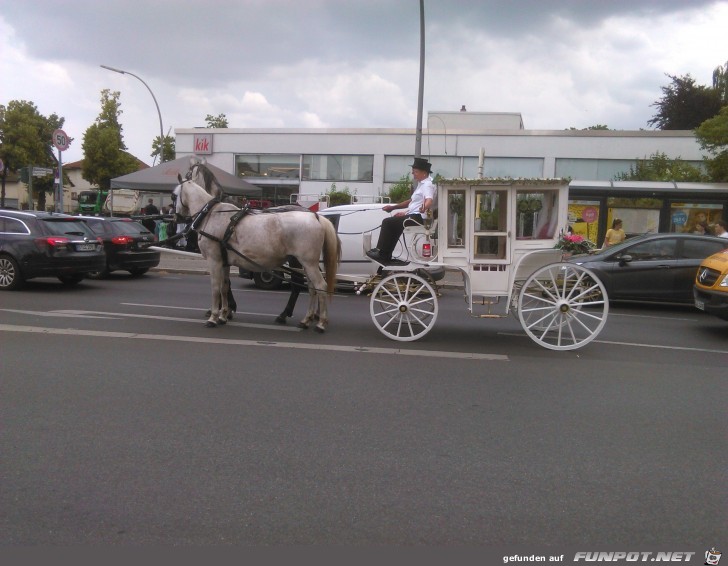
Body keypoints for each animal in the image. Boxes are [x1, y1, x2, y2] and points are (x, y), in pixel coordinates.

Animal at [173, 175, 342, 330]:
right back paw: (306, 319)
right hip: (304, 264)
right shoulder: (224, 262)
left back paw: (320, 322)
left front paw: (214, 317)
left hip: (308, 263)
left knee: (320, 285)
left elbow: (215, 287)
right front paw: (223, 314)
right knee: (312, 288)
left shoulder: (214, 260)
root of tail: (316, 217)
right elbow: (224, 286)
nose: (176, 218)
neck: (211, 214)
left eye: (174, 195)